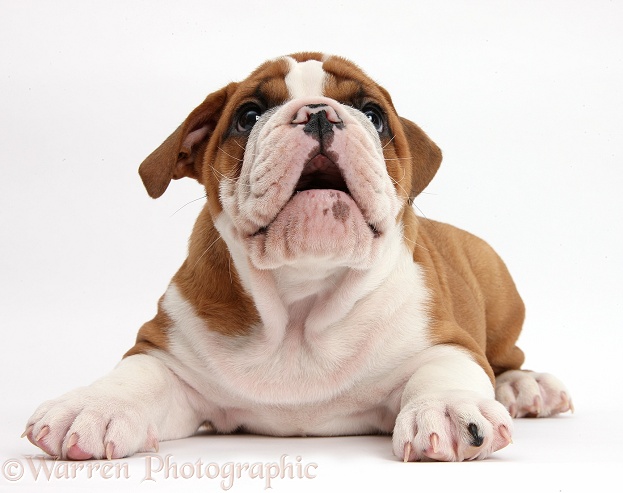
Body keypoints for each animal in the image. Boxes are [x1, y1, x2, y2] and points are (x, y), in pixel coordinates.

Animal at [24, 52, 572, 462]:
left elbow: (445, 370)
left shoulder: (447, 340)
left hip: (500, 293)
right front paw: (92, 404)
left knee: (507, 357)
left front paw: (450, 409)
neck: (301, 302)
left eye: (374, 116)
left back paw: (526, 387)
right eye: (248, 116)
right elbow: (136, 376)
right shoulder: (170, 355)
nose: (320, 112)